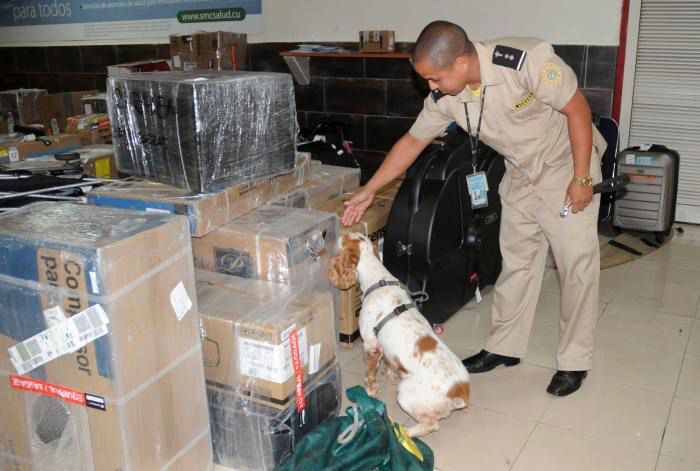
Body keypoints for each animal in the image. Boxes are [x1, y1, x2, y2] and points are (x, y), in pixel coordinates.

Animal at [328, 233, 470, 438]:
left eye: (345, 237)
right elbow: (390, 363)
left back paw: (405, 432)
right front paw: (390, 374)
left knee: (431, 424)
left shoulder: (371, 344)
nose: (340, 233)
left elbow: (370, 373)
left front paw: (371, 390)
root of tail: (459, 391)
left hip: (405, 394)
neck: (378, 279)